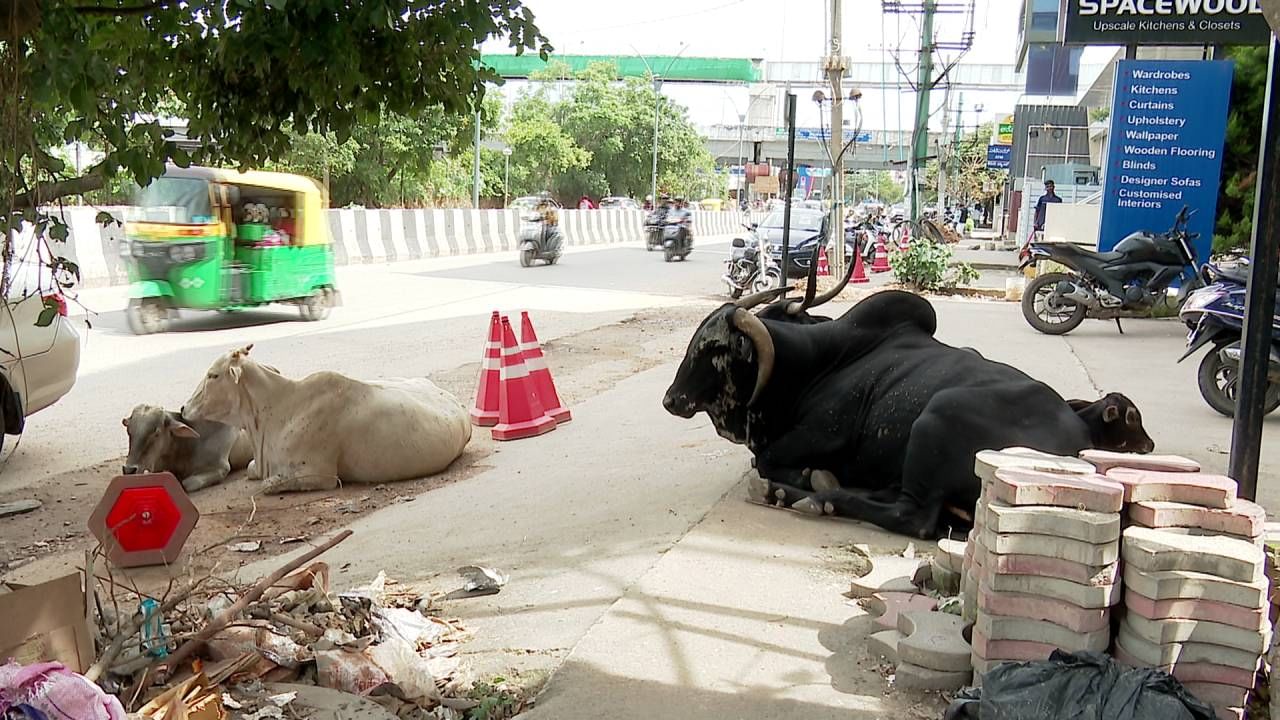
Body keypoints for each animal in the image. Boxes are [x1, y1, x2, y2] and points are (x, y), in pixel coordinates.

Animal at [665, 260, 1157, 535]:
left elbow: (764, 459)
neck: (813, 363)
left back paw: (812, 495)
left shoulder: (822, 435)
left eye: (713, 347)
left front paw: (805, 477)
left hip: (939, 415)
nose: (671, 399)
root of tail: (1078, 440)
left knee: (914, 517)